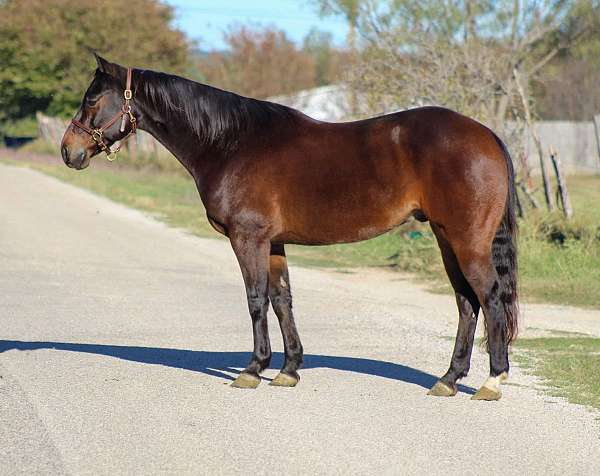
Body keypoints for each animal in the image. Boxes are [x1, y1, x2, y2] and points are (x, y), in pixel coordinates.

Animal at [63, 54, 516, 400]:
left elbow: (256, 300)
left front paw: (253, 369)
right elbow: (282, 300)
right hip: (445, 238)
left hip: (467, 241)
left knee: (489, 298)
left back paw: (492, 380)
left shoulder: (248, 239)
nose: (69, 151)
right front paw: (288, 369)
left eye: (92, 100)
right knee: (466, 303)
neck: (231, 142)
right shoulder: (274, 243)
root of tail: (487, 135)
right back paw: (449, 379)